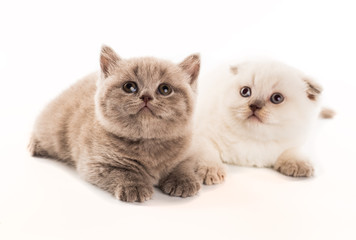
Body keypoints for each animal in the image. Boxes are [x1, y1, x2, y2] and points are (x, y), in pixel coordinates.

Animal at [28, 46, 203, 202]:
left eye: (165, 89)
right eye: (130, 87)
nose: (146, 96)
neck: (148, 144)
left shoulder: (189, 152)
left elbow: (183, 165)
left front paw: (184, 181)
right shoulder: (95, 163)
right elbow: (122, 171)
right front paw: (134, 187)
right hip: (54, 127)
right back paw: (34, 146)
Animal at [193, 61, 324, 177]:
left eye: (277, 98)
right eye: (245, 91)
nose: (254, 106)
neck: (254, 139)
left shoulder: (293, 142)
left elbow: (292, 151)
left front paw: (299, 165)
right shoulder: (201, 137)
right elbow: (206, 154)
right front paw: (210, 170)